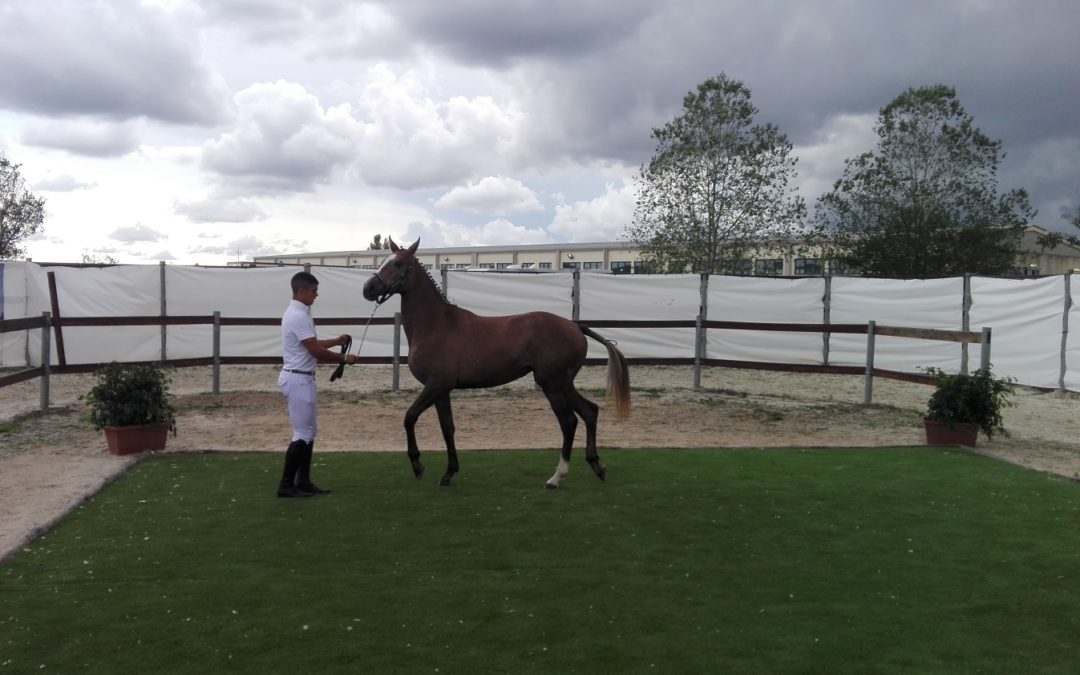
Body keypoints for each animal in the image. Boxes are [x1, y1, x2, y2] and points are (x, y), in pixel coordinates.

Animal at [362, 239, 630, 486]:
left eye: (398, 264)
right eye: (384, 261)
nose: (368, 288)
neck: (435, 324)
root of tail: (575, 326)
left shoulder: (436, 385)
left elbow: (409, 417)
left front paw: (418, 464)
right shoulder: (441, 390)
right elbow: (447, 428)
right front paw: (449, 472)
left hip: (553, 385)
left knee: (569, 422)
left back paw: (557, 477)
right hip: (563, 384)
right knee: (589, 412)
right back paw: (596, 466)